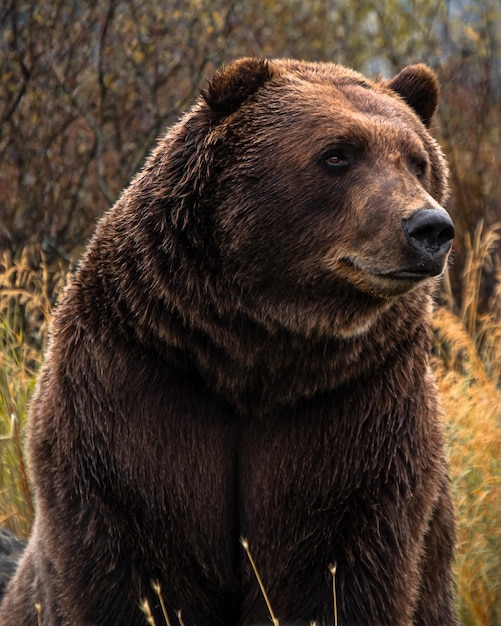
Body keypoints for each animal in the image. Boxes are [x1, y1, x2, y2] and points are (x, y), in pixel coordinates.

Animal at [0, 58, 458, 624]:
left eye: (418, 161)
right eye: (337, 154)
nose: (429, 226)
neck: (254, 350)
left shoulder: (356, 412)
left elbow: (337, 570)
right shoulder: (133, 391)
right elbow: (136, 563)